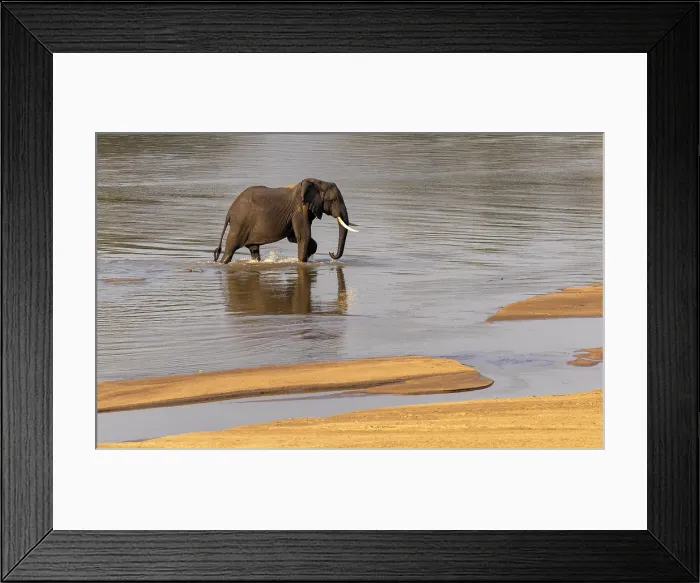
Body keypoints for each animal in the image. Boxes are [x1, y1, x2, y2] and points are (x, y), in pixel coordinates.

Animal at [213, 178, 358, 264]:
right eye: (334, 200)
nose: (331, 253)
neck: (317, 182)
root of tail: (229, 212)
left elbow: (294, 237)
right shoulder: (299, 210)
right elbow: (304, 236)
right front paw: (303, 261)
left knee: (254, 250)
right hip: (239, 224)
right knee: (230, 250)